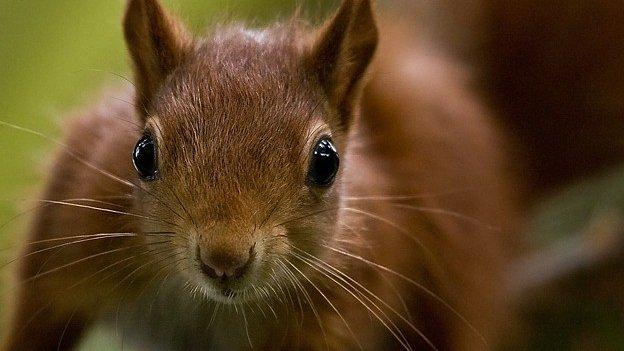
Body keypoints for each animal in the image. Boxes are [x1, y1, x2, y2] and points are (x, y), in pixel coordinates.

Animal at [2, 0, 520, 351]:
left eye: (327, 161)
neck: (207, 304)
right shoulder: (73, 228)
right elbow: (38, 312)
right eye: (142, 153)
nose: (223, 258)